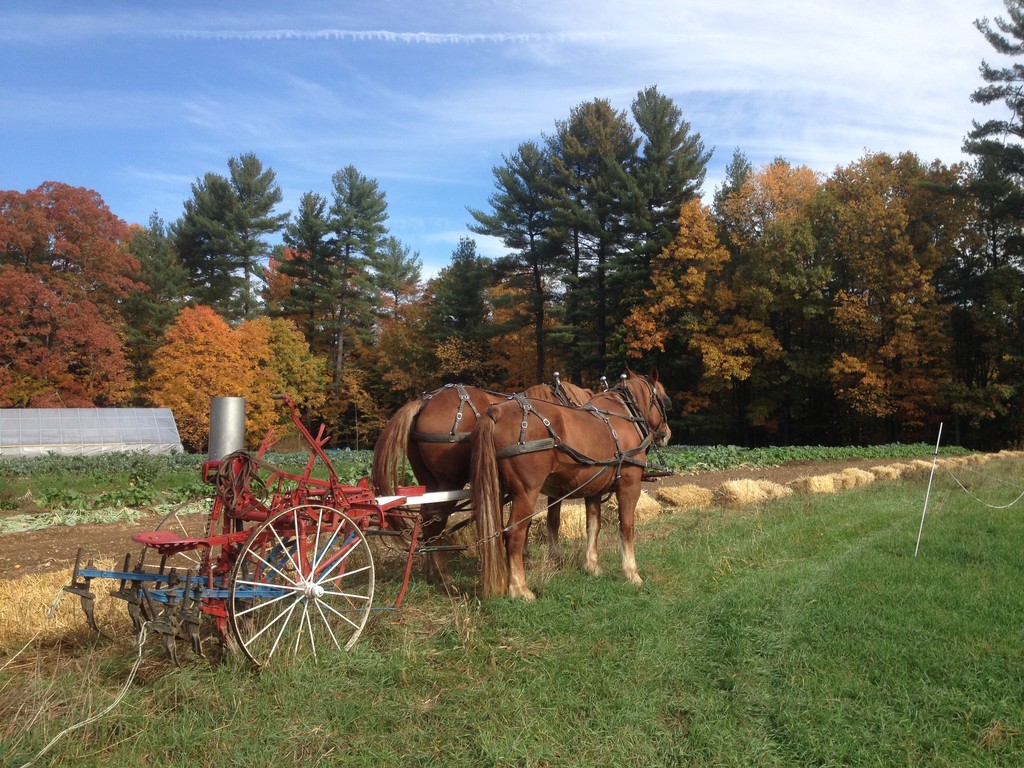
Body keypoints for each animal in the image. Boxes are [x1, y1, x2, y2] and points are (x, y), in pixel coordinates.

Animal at [372, 378, 593, 589]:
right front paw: (542, 558)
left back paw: (431, 572)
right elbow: (545, 520)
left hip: (429, 483)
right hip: (449, 483)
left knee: (426, 519)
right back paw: (443, 576)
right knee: (435, 523)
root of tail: (425, 402)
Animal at [471, 370, 671, 602]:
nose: (667, 433)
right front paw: (632, 573)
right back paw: (519, 588)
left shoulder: (594, 490)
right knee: (514, 533)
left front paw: (592, 566)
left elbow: (593, 525)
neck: (624, 417)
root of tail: (497, 411)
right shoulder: (629, 486)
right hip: (525, 493)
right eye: (665, 401)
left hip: (498, 490)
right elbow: (626, 528)